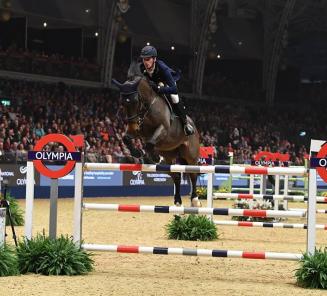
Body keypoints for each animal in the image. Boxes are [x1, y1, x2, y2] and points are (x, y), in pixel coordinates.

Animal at [113, 63, 201, 206]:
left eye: (136, 101)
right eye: (122, 103)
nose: (132, 126)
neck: (147, 106)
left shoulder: (163, 128)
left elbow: (149, 143)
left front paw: (151, 156)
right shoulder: (137, 129)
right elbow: (126, 138)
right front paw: (138, 153)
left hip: (190, 155)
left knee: (193, 174)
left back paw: (195, 200)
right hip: (168, 155)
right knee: (175, 175)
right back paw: (177, 200)